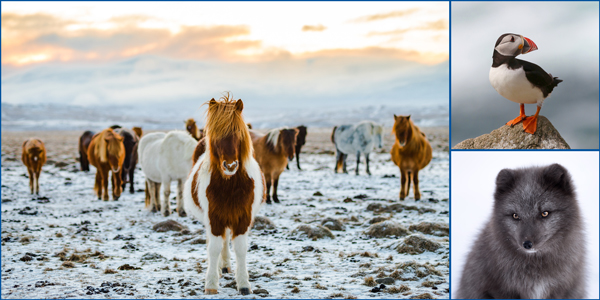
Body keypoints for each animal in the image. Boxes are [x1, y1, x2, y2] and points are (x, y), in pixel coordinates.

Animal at [183, 95, 264, 296]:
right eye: (216, 135)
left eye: (238, 133)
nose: (230, 166)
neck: (230, 185)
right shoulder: (214, 218)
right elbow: (213, 248)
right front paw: (211, 284)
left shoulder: (242, 218)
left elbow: (240, 249)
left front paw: (244, 284)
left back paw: (226, 266)